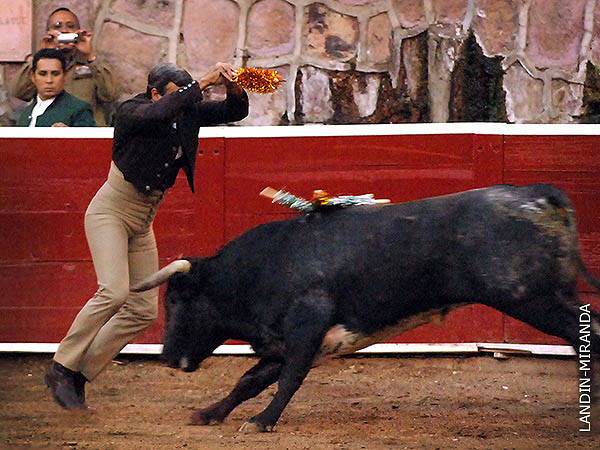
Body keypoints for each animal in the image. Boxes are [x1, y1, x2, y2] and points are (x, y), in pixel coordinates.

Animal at [132, 184, 600, 432]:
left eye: (177, 299)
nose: (167, 358)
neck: (261, 268)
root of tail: (534, 194)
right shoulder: (288, 341)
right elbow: (249, 380)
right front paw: (210, 413)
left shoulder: (306, 327)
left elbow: (287, 380)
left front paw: (263, 421)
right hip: (552, 297)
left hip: (531, 300)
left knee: (585, 335)